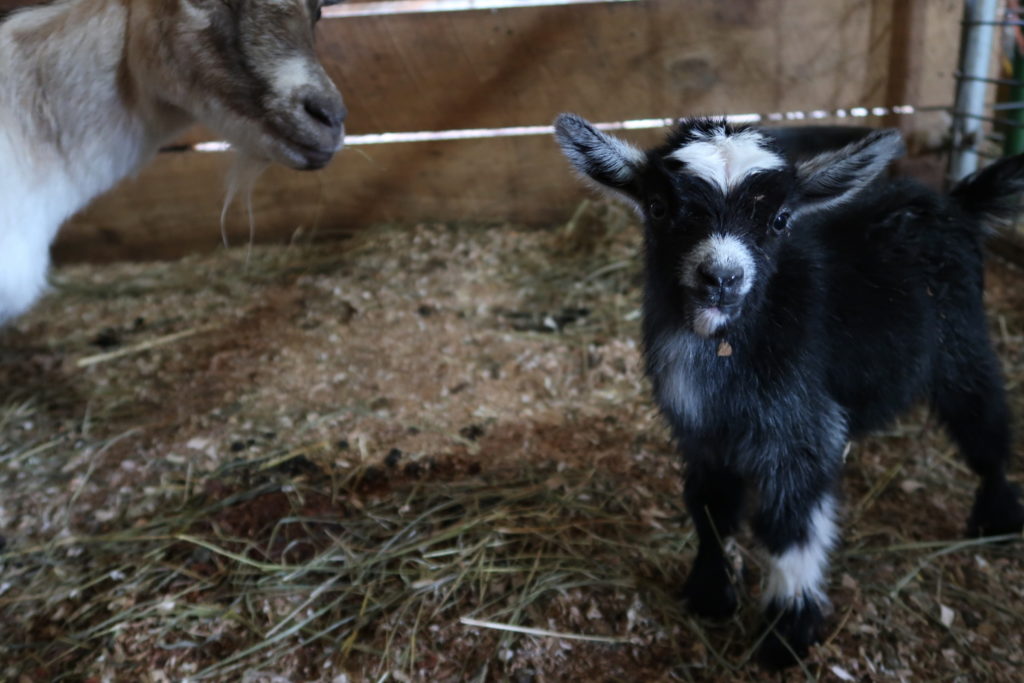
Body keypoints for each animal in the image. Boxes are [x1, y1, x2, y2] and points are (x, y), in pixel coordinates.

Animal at [557, 116, 1024, 667]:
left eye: (780, 220)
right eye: (658, 206)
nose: (722, 278)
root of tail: (954, 204)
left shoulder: (801, 434)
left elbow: (789, 528)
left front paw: (787, 632)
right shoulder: (701, 435)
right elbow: (710, 508)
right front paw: (709, 593)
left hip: (961, 346)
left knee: (984, 422)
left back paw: (997, 516)